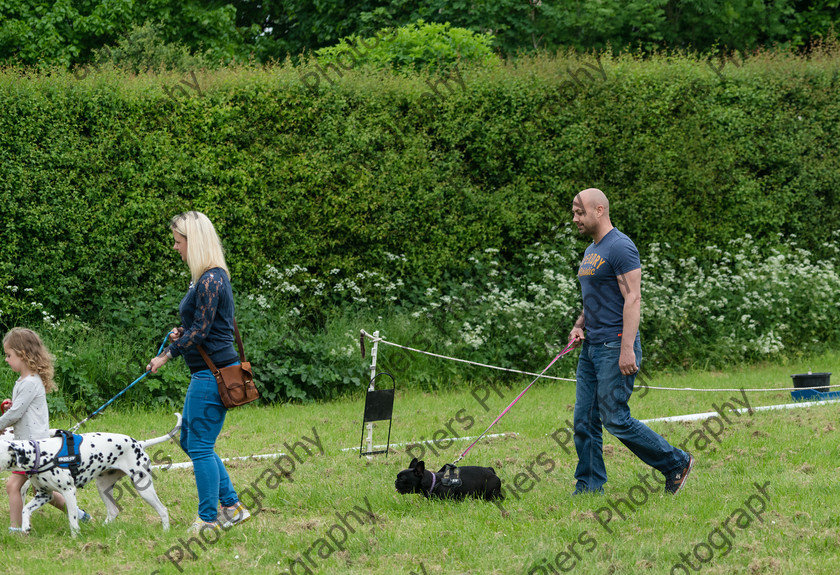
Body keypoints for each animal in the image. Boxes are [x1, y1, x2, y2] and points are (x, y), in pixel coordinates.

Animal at [0, 414, 180, 536]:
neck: (41, 454)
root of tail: (139, 443)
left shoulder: (68, 492)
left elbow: (72, 518)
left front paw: (75, 538)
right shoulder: (45, 495)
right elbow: (25, 510)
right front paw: (25, 527)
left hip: (143, 488)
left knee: (163, 510)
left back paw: (165, 531)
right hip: (103, 488)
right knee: (113, 511)